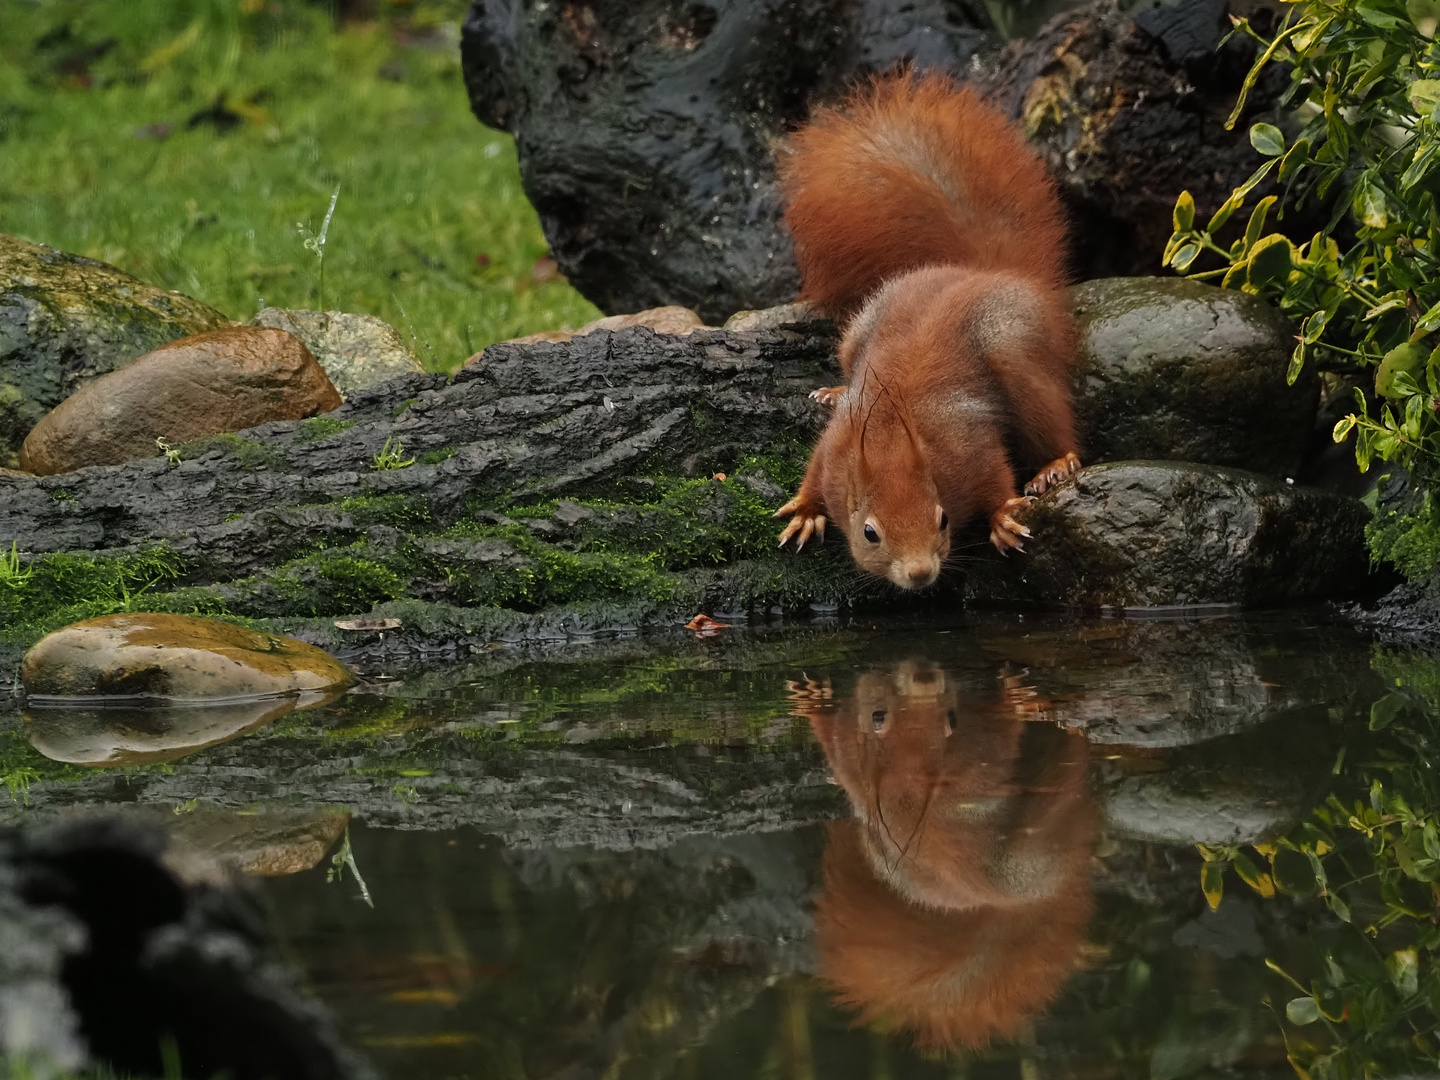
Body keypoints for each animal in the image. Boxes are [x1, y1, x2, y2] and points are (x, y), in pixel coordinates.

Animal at [777, 74, 1082, 593]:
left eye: (943, 520)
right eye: (870, 533)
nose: (920, 573)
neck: (889, 441)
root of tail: (978, 272)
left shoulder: (970, 447)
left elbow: (996, 476)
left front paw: (1004, 514)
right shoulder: (834, 452)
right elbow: (813, 474)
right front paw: (803, 508)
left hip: (1014, 351)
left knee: (1053, 422)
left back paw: (1057, 464)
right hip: (859, 330)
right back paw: (834, 390)